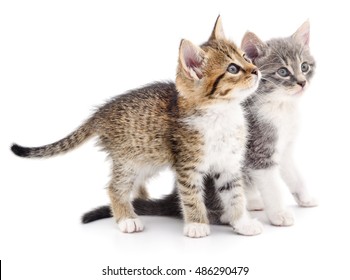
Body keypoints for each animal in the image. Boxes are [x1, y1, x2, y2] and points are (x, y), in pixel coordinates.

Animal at [11, 17, 262, 236]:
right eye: (232, 69)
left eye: (245, 57)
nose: (256, 70)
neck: (222, 114)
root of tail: (101, 112)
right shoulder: (187, 164)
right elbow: (191, 196)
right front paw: (197, 225)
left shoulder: (229, 164)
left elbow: (235, 194)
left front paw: (243, 223)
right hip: (129, 159)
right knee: (115, 187)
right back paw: (127, 218)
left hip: (147, 158)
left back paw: (141, 201)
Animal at [82, 21, 318, 228]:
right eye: (283, 72)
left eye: (305, 67)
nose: (302, 83)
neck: (280, 106)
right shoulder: (259, 153)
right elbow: (271, 186)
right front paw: (279, 214)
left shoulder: (283, 149)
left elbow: (293, 174)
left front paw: (305, 198)